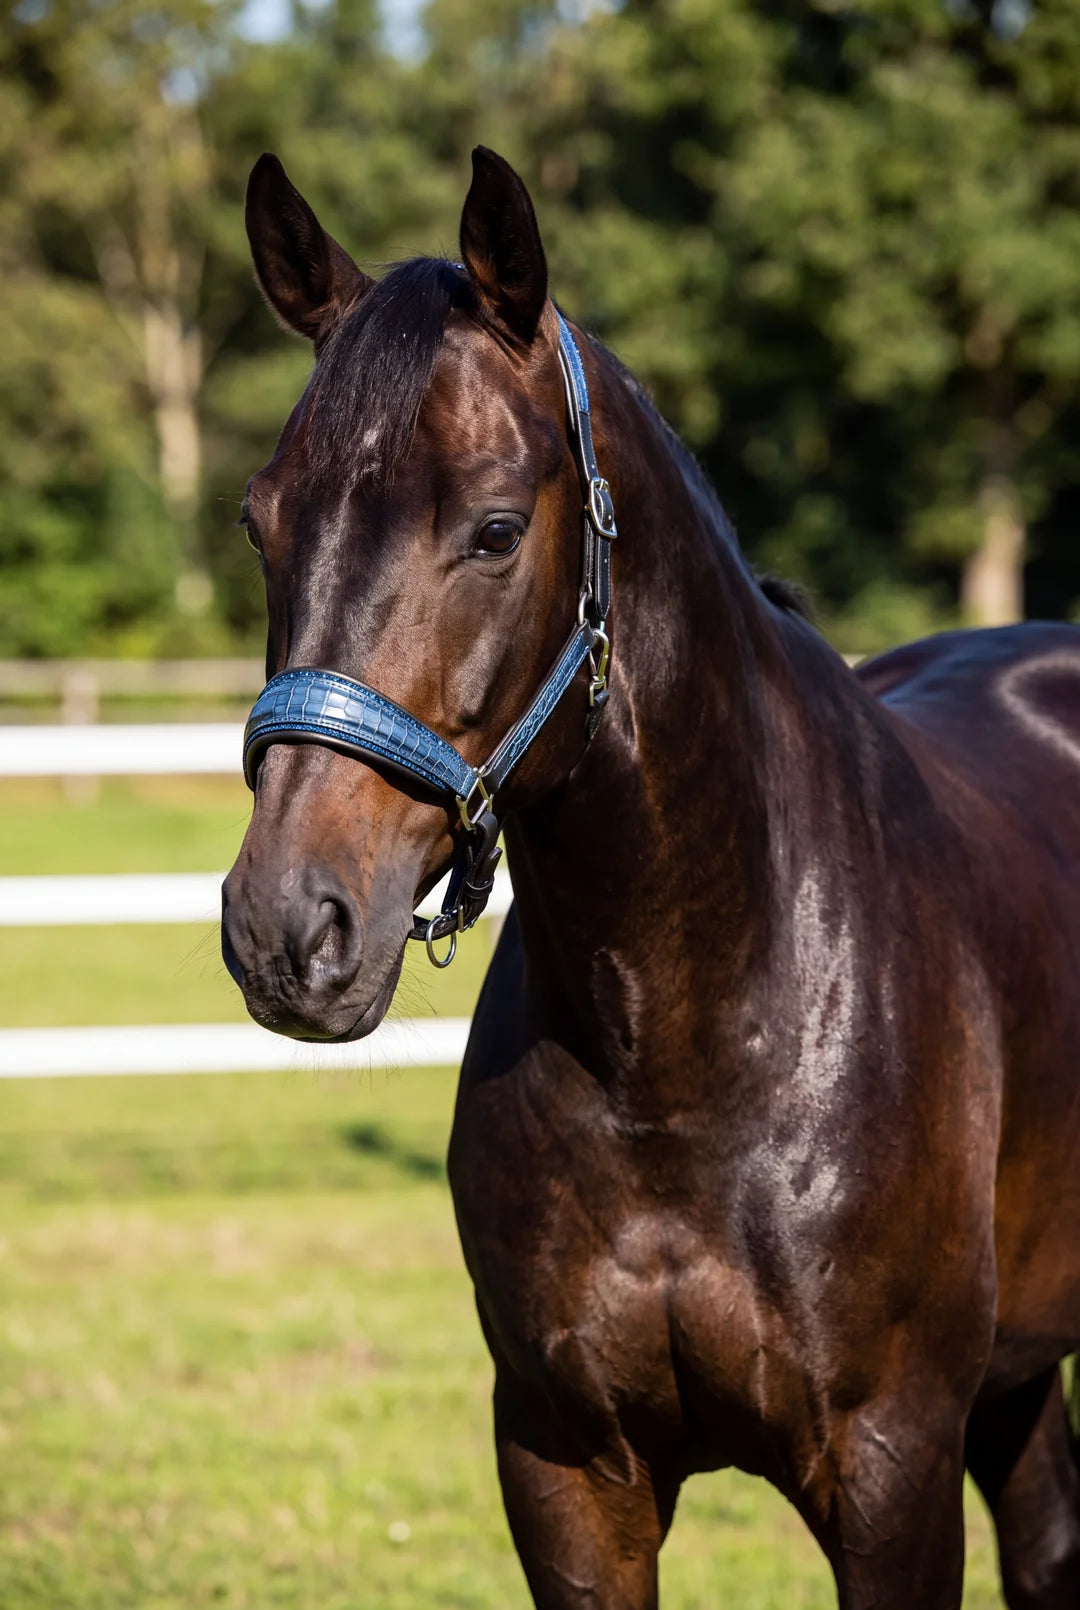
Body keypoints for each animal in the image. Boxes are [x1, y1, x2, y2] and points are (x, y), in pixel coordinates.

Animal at [222, 145, 1080, 1608]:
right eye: (261, 522)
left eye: (494, 529)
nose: (287, 927)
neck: (692, 1033)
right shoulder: (568, 1468)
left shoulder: (893, 1468)